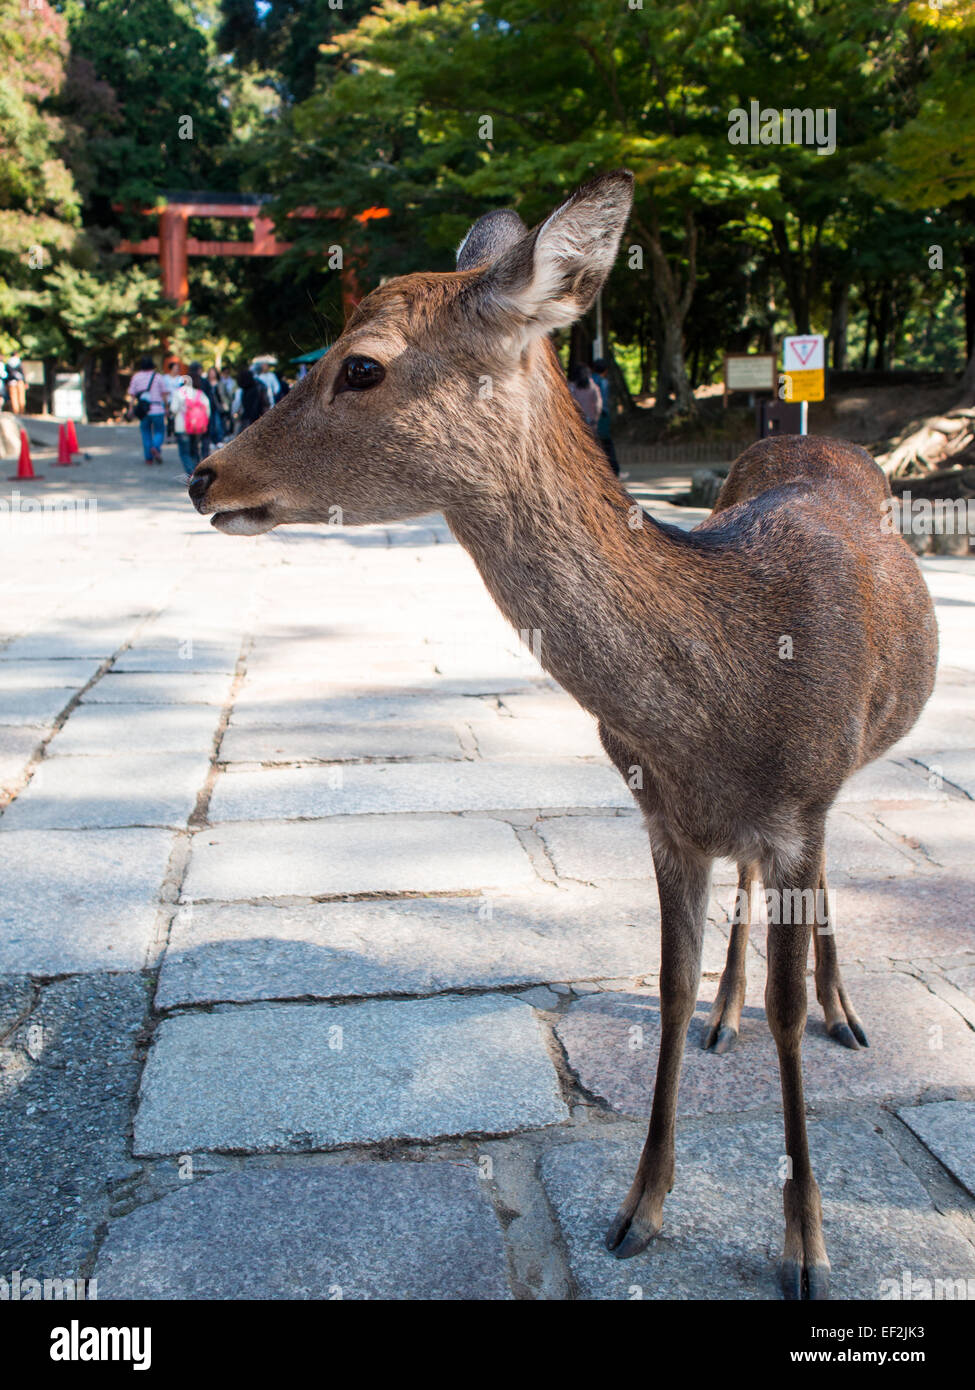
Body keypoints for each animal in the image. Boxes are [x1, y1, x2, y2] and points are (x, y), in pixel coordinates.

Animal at [186, 173, 940, 1301]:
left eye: (361, 364)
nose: (205, 473)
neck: (725, 699)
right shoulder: (662, 816)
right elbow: (664, 987)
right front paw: (639, 1208)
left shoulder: (801, 802)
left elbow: (787, 1009)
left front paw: (806, 1246)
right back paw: (728, 1014)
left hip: (848, 770)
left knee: (820, 900)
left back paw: (845, 1011)